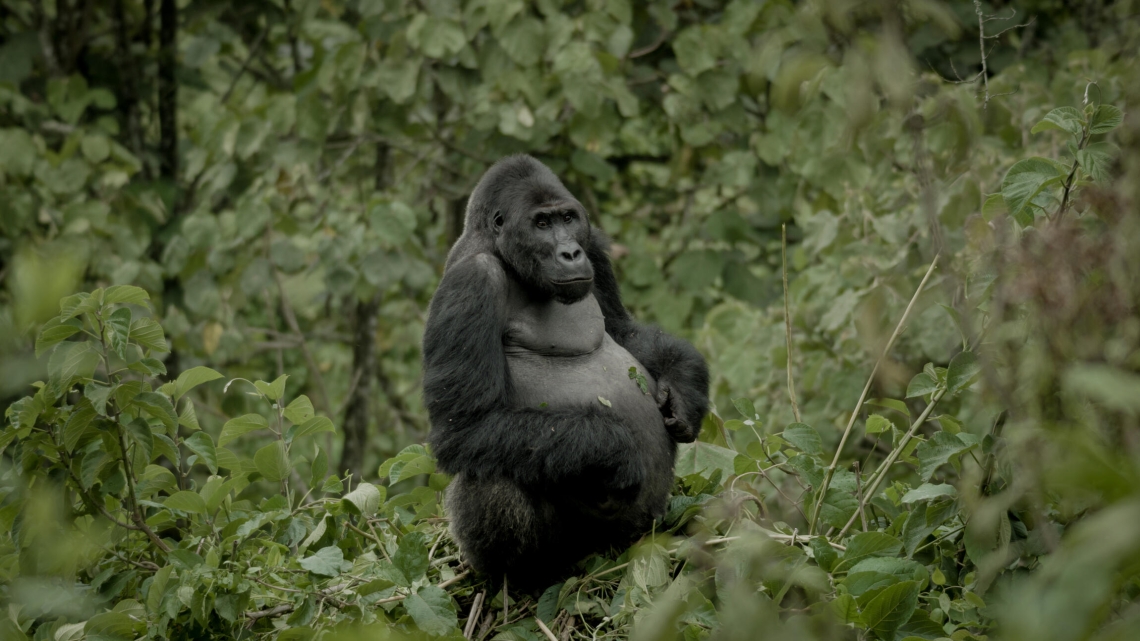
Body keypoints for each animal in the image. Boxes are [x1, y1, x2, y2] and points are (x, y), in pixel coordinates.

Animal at [424, 153, 706, 583]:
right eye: (542, 224)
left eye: (568, 219)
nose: (571, 253)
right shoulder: (471, 282)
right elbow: (465, 426)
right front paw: (616, 449)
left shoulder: (596, 247)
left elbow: (623, 331)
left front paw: (684, 389)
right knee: (491, 474)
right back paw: (518, 574)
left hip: (631, 532)